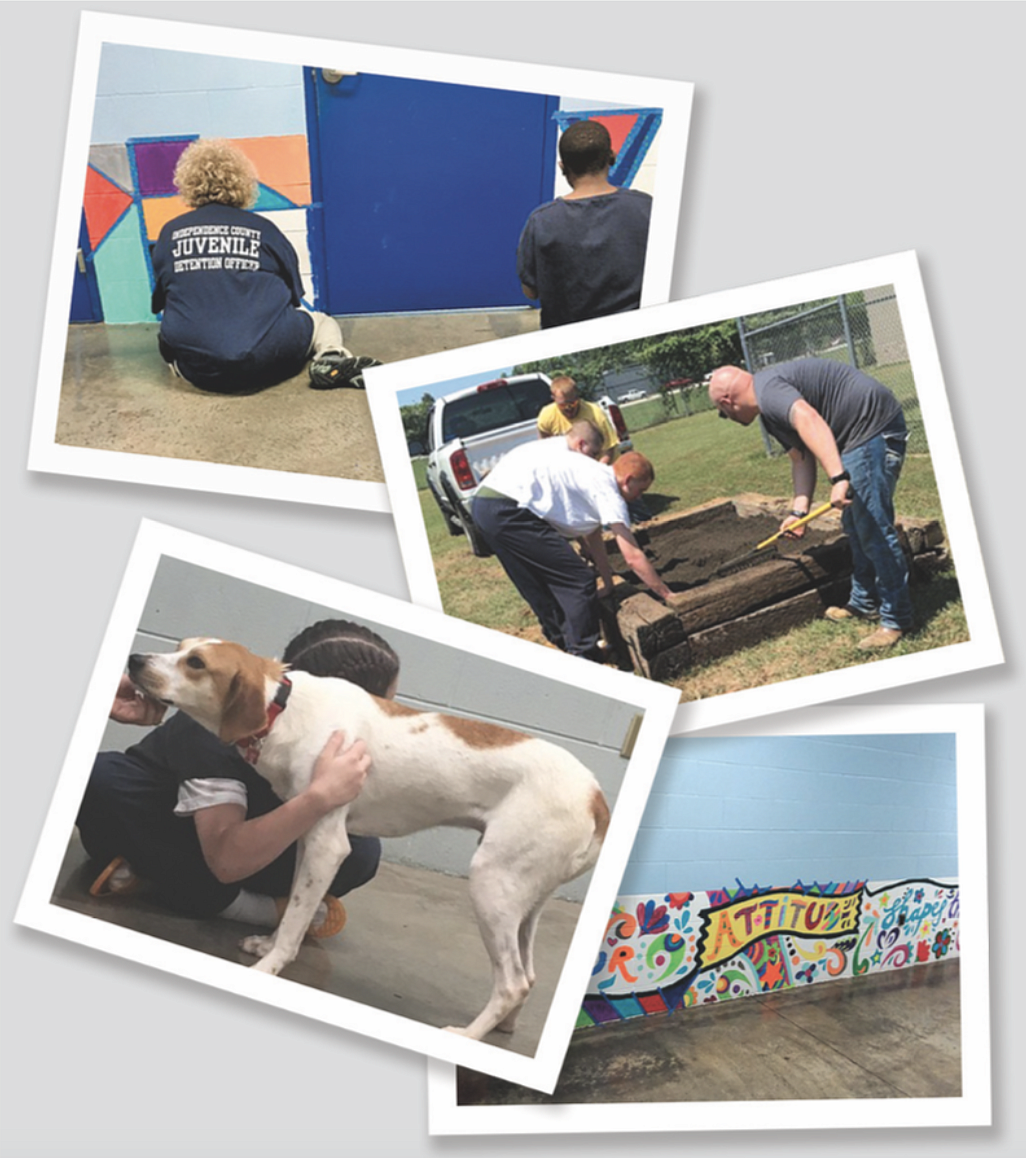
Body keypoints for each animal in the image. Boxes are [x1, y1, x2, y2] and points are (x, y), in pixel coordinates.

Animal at [127, 639, 611, 1037]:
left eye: (195, 663)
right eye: (180, 646)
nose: (134, 659)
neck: (283, 709)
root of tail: (597, 797)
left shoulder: (328, 845)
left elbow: (295, 923)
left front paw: (268, 967)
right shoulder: (308, 837)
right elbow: (294, 911)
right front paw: (268, 944)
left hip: (492, 884)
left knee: (511, 982)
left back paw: (466, 1036)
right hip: (523, 897)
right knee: (528, 977)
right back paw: (504, 1027)